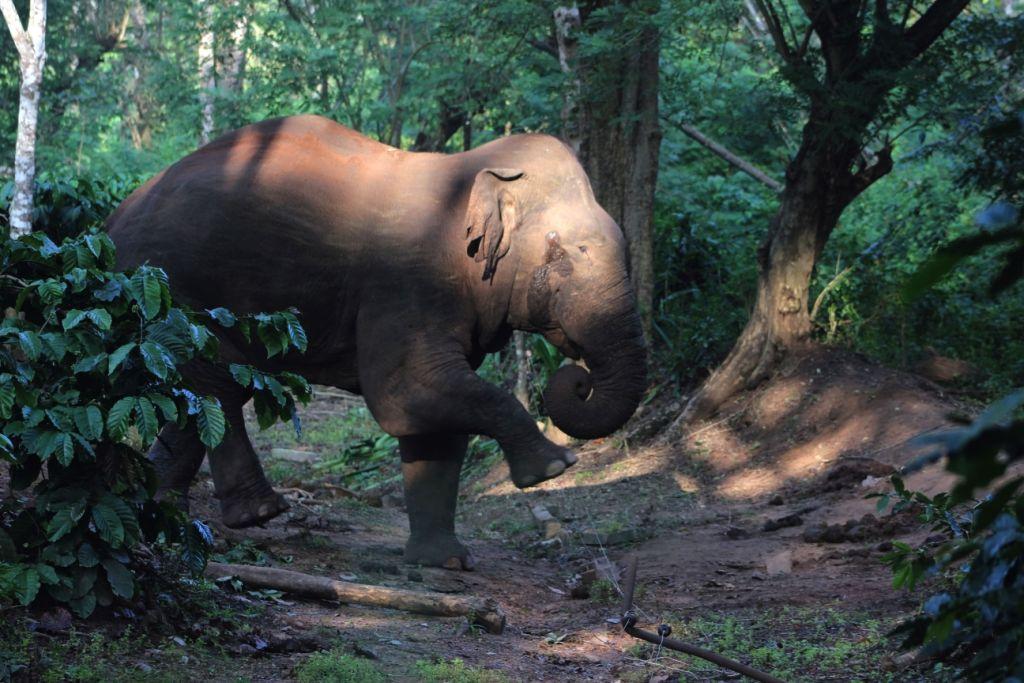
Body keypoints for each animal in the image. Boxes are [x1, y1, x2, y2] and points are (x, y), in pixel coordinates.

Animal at [107, 115, 646, 570]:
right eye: (571, 252)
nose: (578, 379)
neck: (471, 171)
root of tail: (114, 219)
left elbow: (433, 424)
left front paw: (445, 563)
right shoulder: (406, 285)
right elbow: (405, 395)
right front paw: (552, 468)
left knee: (199, 397)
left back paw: (165, 512)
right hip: (171, 291)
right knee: (217, 384)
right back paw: (257, 512)